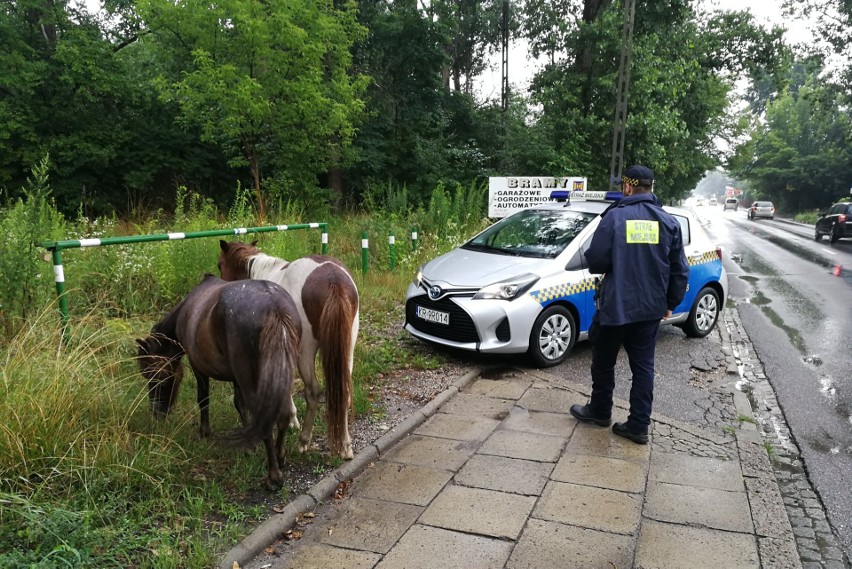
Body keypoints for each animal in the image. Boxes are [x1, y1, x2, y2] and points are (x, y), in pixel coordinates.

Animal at [135, 276, 302, 488]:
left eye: (152, 375)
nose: (157, 412)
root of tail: (274, 305)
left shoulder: (198, 368)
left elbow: (203, 400)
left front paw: (204, 432)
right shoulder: (237, 378)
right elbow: (240, 405)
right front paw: (249, 445)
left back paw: (273, 477)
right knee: (283, 414)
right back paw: (280, 457)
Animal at [216, 239, 360, 458]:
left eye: (220, 264)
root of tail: (333, 279)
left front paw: (292, 420)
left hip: (306, 351)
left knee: (313, 392)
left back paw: (304, 440)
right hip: (347, 348)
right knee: (344, 391)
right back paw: (345, 446)